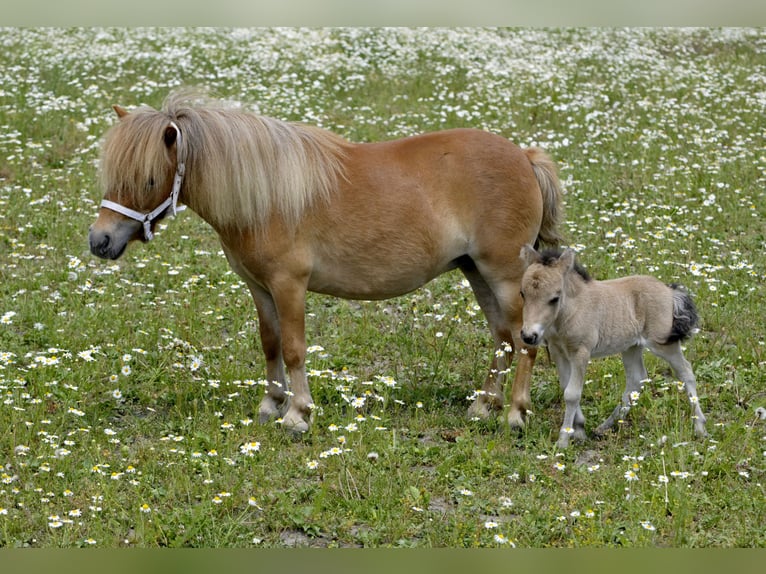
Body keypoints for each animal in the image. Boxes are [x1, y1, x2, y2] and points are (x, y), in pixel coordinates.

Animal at [88, 90, 565, 433]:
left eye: (149, 179)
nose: (99, 241)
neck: (268, 197)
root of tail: (524, 158)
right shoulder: (259, 287)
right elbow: (270, 344)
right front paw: (270, 405)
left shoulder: (289, 285)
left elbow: (294, 348)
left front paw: (298, 414)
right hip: (476, 273)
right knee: (503, 339)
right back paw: (484, 407)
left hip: (504, 277)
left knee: (523, 342)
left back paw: (515, 415)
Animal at [518, 244, 707, 448]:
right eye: (522, 294)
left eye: (554, 298)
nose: (529, 336)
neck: (572, 309)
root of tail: (669, 291)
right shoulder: (558, 351)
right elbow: (565, 387)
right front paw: (579, 429)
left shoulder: (581, 352)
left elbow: (572, 393)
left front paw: (563, 440)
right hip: (631, 347)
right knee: (637, 379)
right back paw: (604, 426)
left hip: (662, 344)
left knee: (686, 372)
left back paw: (700, 427)